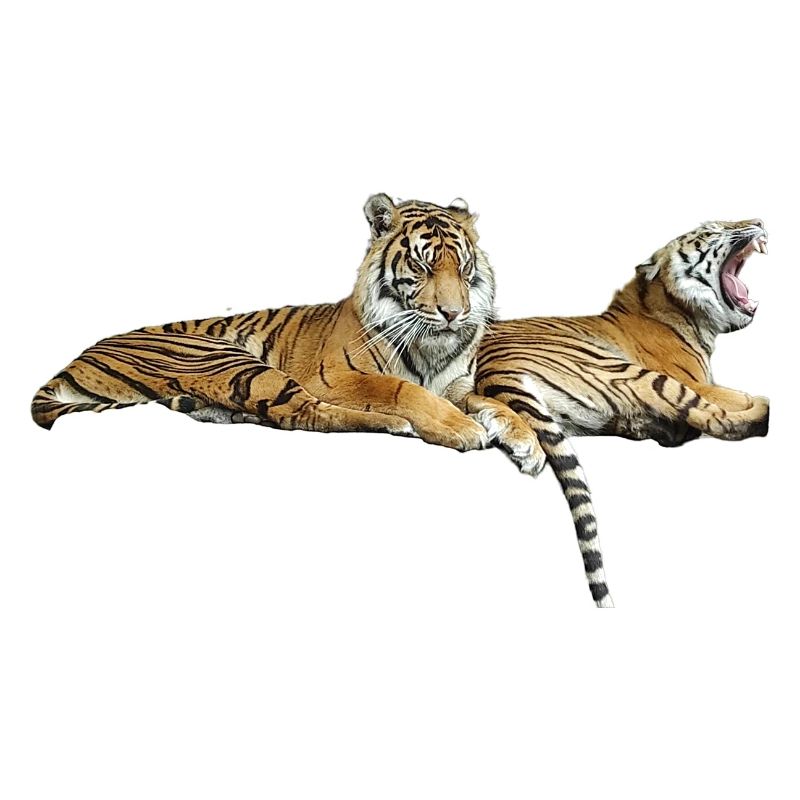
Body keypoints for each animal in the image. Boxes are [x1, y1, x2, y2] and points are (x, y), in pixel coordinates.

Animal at [32, 194, 542, 473]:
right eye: (421, 265)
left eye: (462, 265)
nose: (455, 314)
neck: (432, 345)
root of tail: (76, 359)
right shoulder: (338, 377)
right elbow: (402, 390)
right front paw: (461, 429)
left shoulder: (456, 385)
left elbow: (492, 402)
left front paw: (527, 444)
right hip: (226, 358)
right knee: (305, 414)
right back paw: (394, 425)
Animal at [474, 218, 770, 607]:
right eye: (711, 229)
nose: (759, 222)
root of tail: (495, 368)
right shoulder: (698, 382)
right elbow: (736, 397)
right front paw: (753, 399)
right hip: (633, 373)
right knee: (718, 419)